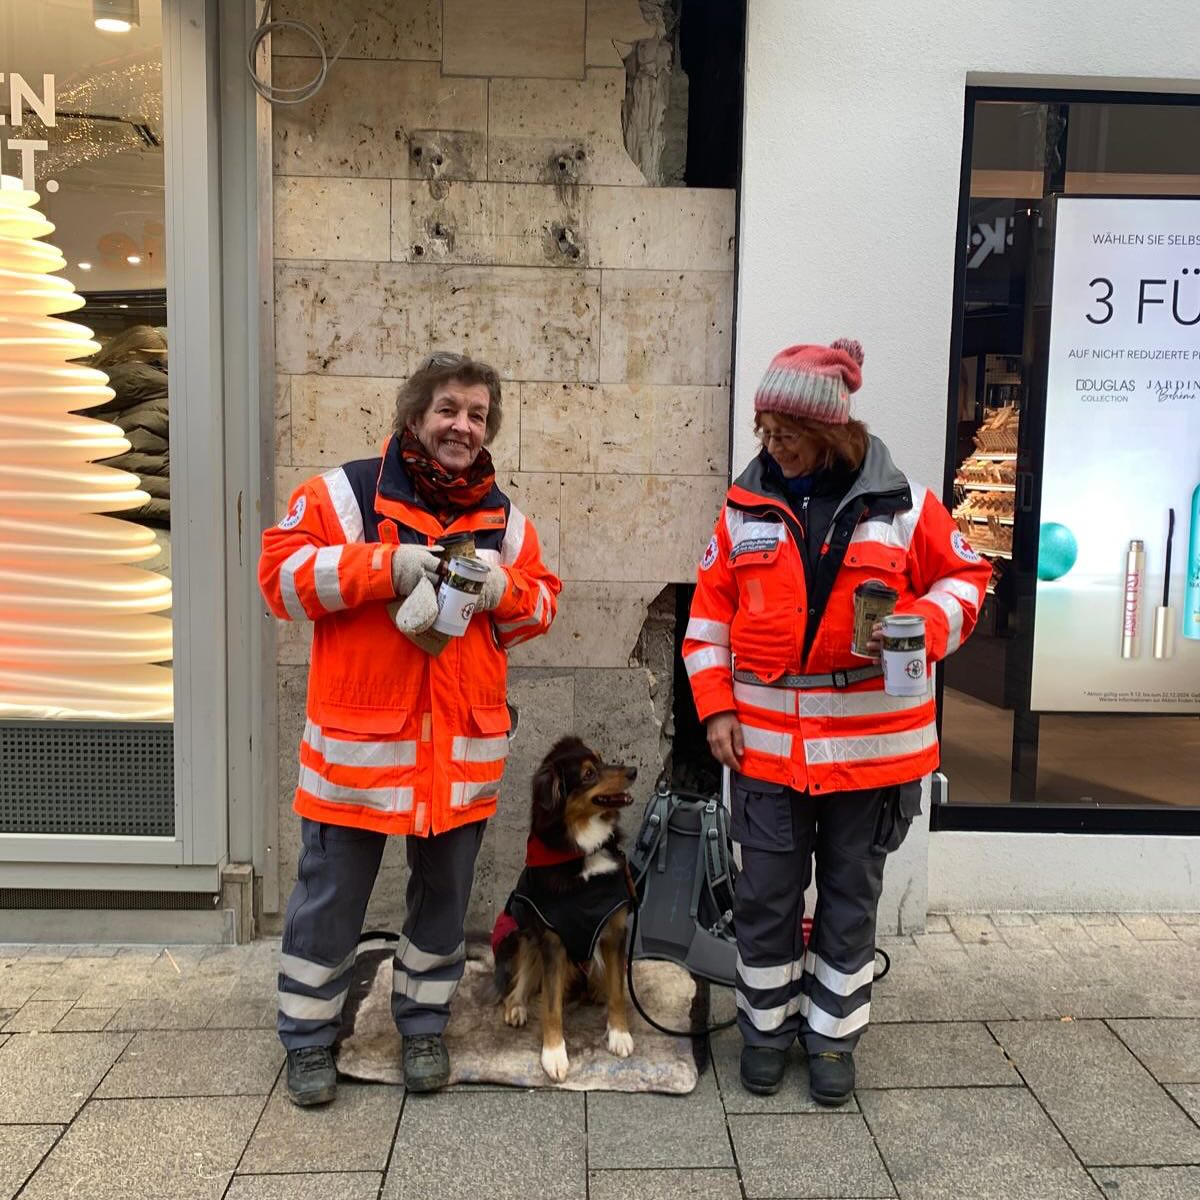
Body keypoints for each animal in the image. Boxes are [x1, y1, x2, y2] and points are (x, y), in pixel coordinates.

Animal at [489, 734, 638, 1084]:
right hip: (521, 930)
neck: (582, 854)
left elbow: (618, 991)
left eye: (602, 758)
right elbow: (551, 1006)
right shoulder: (552, 939)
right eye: (587, 774)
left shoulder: (615, 930)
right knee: (524, 979)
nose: (633, 771)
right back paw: (517, 1007)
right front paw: (554, 1055)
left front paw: (619, 1034)